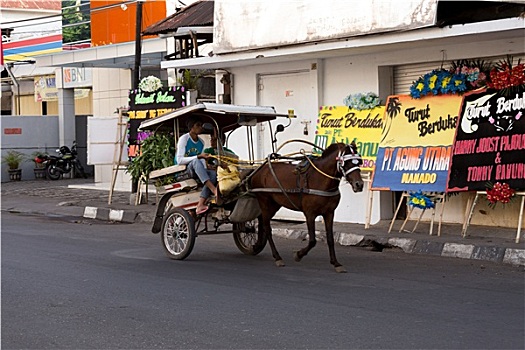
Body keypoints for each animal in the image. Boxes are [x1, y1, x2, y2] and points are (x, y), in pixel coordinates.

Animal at [248, 142, 362, 274]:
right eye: (346, 163)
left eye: (359, 162)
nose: (359, 184)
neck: (320, 179)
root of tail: (258, 170)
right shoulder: (310, 214)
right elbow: (312, 240)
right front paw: (298, 254)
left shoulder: (329, 213)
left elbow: (330, 239)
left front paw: (336, 263)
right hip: (264, 201)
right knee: (267, 228)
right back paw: (277, 257)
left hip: (274, 204)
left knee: (263, 223)